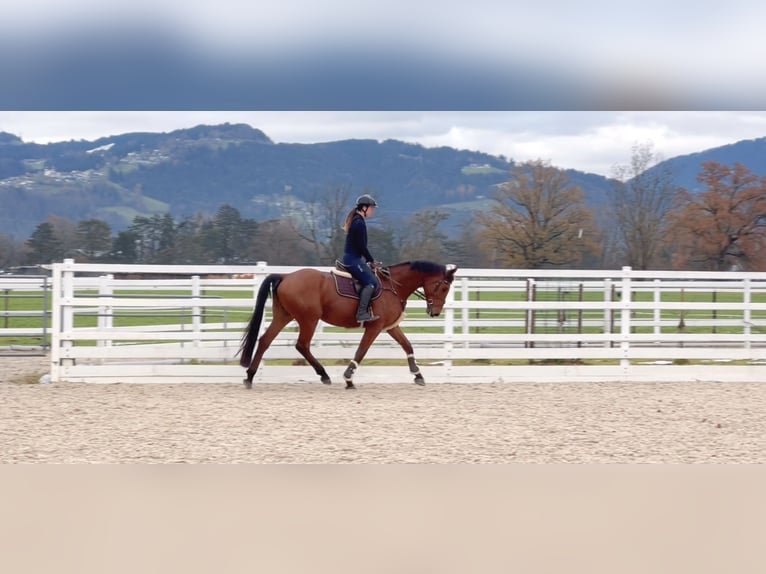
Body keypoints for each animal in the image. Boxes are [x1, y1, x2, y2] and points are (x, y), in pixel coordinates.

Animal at [237, 262, 460, 392]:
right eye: (444, 287)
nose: (435, 312)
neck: (393, 286)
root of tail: (286, 276)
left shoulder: (389, 327)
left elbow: (407, 346)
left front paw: (418, 374)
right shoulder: (375, 327)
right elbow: (361, 351)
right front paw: (348, 378)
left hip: (284, 316)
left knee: (265, 340)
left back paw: (250, 377)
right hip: (309, 319)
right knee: (302, 345)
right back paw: (324, 375)